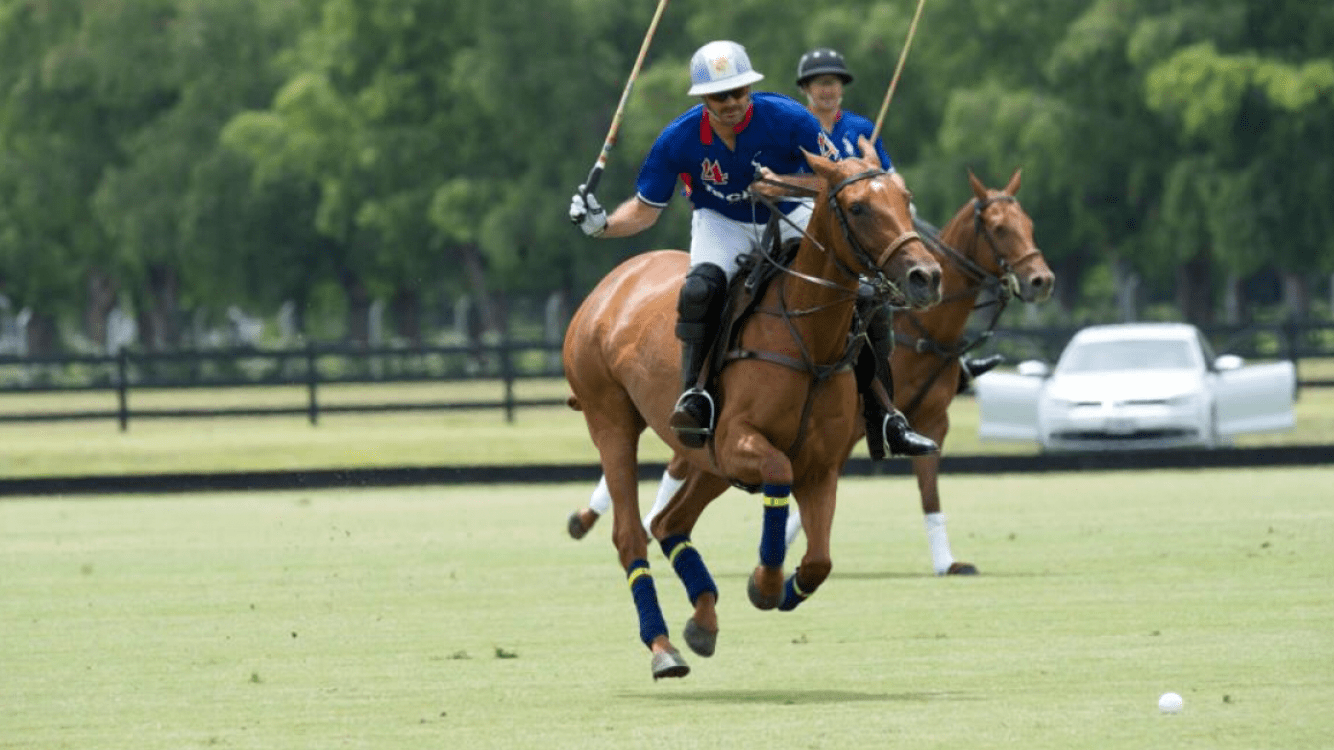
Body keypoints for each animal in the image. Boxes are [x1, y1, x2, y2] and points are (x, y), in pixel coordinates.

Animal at [560, 147, 939, 677]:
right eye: (859, 207)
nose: (927, 277)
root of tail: (609, 285)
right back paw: (663, 648)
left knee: (669, 522)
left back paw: (702, 621)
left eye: (905, 198)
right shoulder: (739, 439)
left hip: (706, 459)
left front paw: (785, 589)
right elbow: (778, 471)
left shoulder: (820, 466)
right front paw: (764, 582)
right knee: (631, 535)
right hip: (611, 420)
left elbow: (820, 560)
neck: (811, 341)